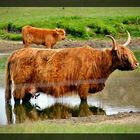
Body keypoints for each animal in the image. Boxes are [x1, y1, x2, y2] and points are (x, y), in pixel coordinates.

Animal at [4, 32, 138, 103]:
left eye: (130, 52)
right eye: (124, 55)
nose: (137, 64)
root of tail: (16, 53)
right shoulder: (83, 86)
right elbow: (83, 101)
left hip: (28, 89)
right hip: (19, 86)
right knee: (16, 100)